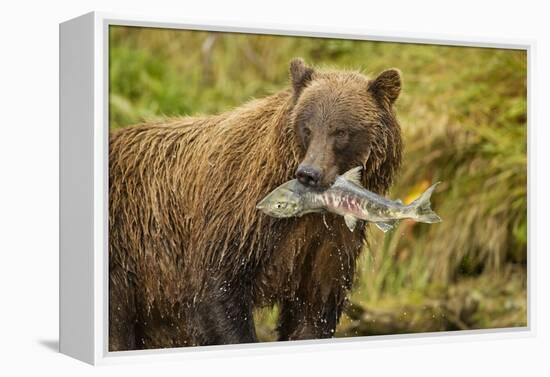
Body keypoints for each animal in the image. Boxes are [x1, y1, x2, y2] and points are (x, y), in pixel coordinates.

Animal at [108, 58, 404, 350]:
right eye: (307, 127)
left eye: (341, 131)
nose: (309, 173)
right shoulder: (236, 217)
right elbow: (219, 292)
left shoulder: (329, 242)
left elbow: (314, 309)